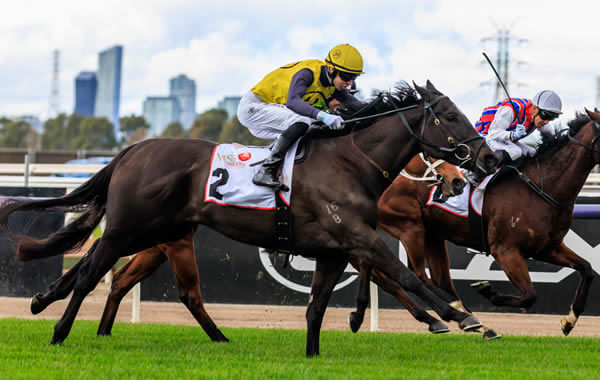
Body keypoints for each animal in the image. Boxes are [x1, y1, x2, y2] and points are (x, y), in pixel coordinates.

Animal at [0, 81, 496, 358]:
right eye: (449, 115)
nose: (488, 158)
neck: (351, 162)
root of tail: (133, 149)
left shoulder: (336, 250)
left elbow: (318, 306)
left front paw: (315, 355)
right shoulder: (360, 237)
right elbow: (407, 276)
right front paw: (461, 317)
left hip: (160, 233)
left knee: (101, 271)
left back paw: (44, 301)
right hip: (128, 228)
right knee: (89, 274)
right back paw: (58, 333)